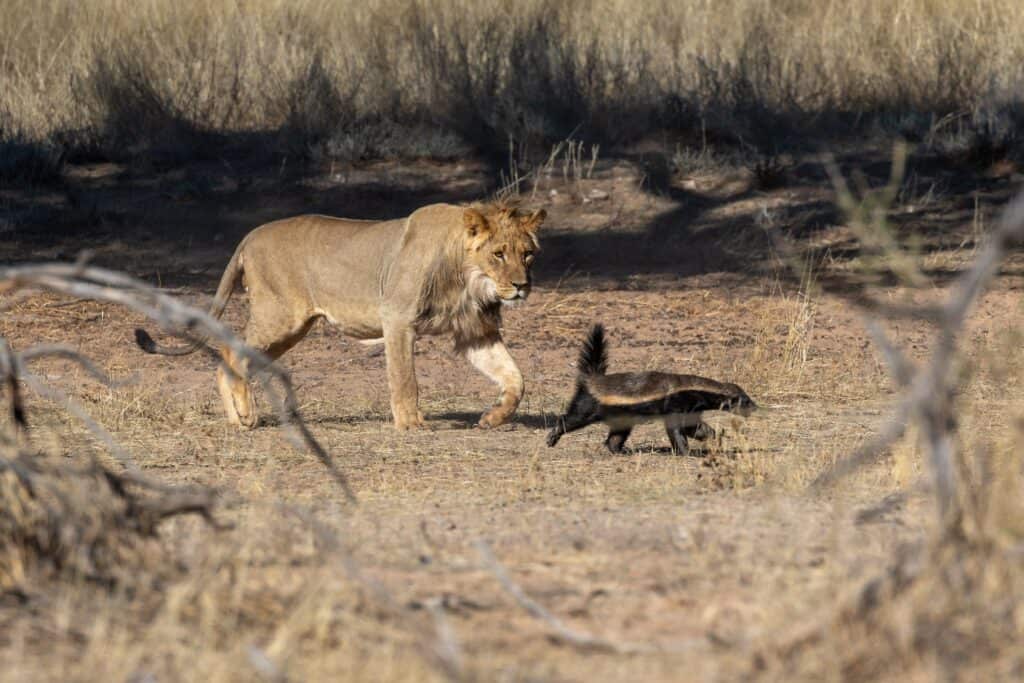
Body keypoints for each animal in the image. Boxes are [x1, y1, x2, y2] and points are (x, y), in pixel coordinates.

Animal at [134, 202, 546, 430]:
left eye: (527, 254)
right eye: (498, 253)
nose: (522, 286)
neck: (469, 281)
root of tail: (250, 235)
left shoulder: (476, 331)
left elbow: (516, 378)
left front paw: (494, 418)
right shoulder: (397, 318)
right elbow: (404, 379)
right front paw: (410, 425)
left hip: (291, 329)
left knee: (230, 359)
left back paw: (238, 419)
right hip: (279, 317)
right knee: (230, 352)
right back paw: (245, 415)